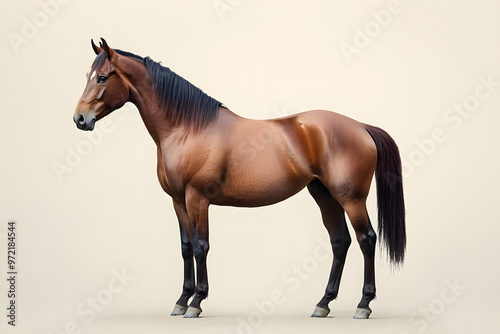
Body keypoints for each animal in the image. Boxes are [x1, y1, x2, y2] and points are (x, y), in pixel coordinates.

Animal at [72, 37, 404, 320]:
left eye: (103, 78)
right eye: (88, 75)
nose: (80, 118)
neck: (187, 128)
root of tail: (361, 126)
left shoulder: (197, 198)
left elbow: (200, 246)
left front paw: (196, 302)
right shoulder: (178, 201)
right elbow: (185, 247)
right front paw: (181, 301)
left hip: (351, 198)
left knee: (366, 239)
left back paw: (363, 305)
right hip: (323, 194)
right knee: (340, 241)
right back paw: (323, 304)